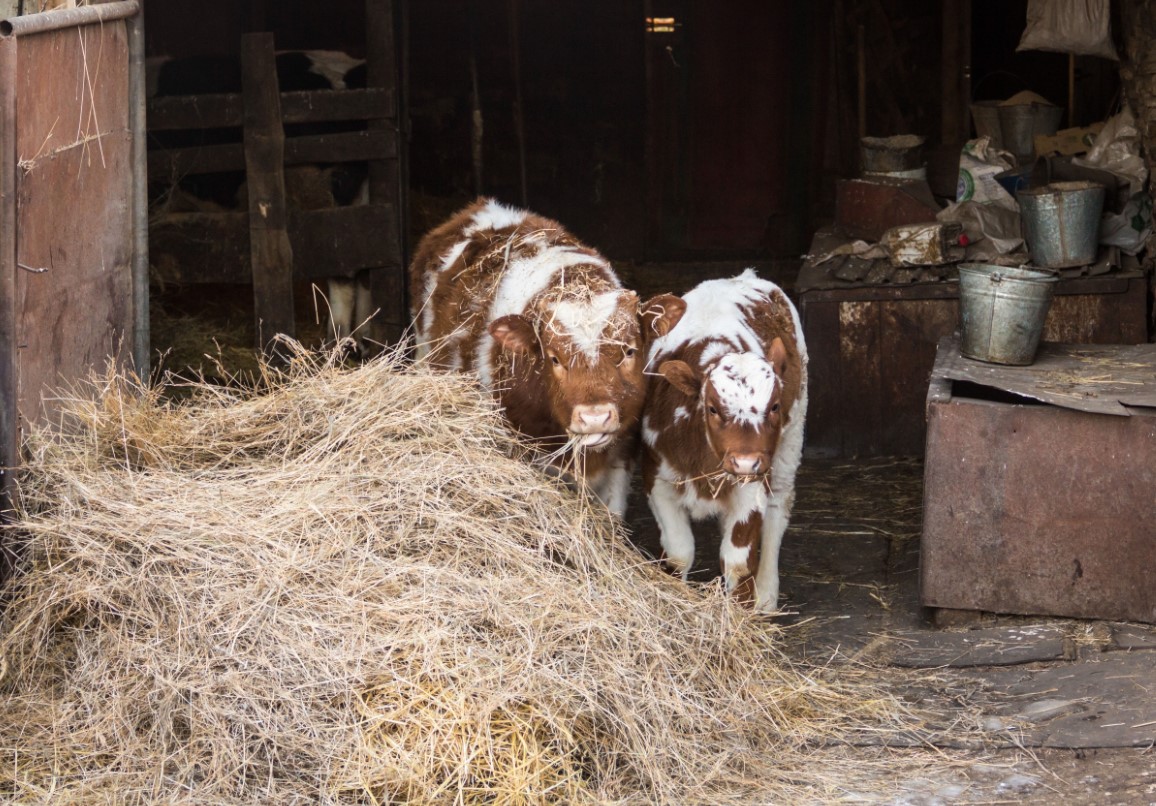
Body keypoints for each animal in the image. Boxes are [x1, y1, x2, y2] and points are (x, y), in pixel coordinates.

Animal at [638, 268, 809, 610]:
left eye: (773, 406)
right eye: (713, 408)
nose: (744, 462)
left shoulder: (752, 487)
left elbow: (738, 562)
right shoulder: (657, 479)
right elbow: (678, 553)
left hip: (789, 443)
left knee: (778, 509)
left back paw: (766, 596)